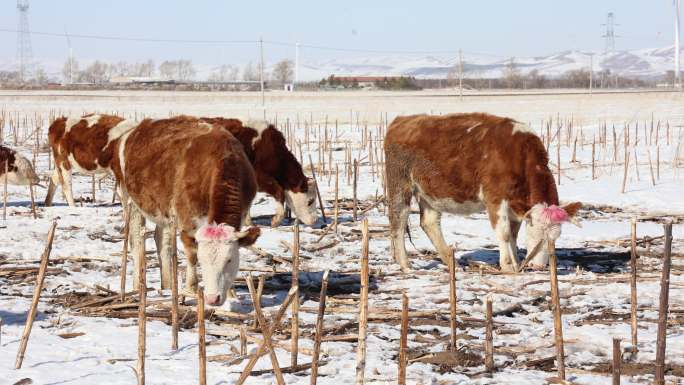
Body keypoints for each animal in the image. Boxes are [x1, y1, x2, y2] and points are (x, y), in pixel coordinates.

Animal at [115, 115, 260, 304]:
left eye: (229, 260)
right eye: (202, 260)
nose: (212, 298)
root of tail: (138, 128)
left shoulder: (242, 214)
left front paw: (231, 294)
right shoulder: (187, 220)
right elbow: (191, 255)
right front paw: (190, 289)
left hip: (163, 209)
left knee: (162, 240)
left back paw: (168, 285)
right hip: (130, 200)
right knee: (136, 240)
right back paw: (138, 285)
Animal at [384, 112, 584, 272]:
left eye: (555, 237)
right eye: (535, 234)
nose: (539, 266)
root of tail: (402, 120)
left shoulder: (515, 205)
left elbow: (513, 234)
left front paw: (516, 263)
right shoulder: (495, 197)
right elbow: (504, 233)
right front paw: (508, 266)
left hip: (430, 191)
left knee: (429, 222)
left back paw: (452, 263)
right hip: (399, 183)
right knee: (398, 221)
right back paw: (405, 265)